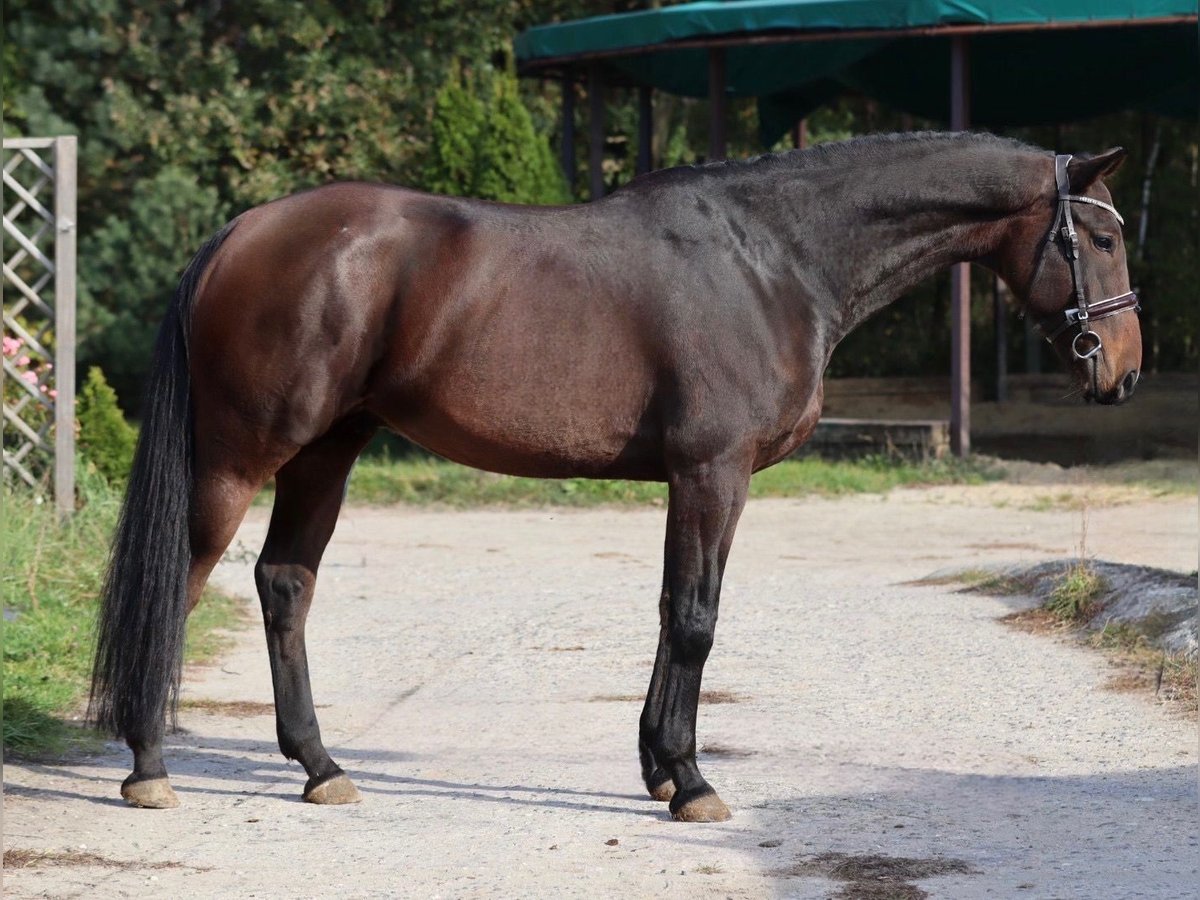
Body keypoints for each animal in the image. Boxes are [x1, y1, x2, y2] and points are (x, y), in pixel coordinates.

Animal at [91, 130, 1142, 820]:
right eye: (1099, 238)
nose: (1124, 370)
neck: (772, 257)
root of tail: (243, 233)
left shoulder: (697, 478)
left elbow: (677, 611)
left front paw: (661, 769)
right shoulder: (713, 471)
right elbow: (697, 618)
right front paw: (692, 780)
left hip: (327, 451)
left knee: (284, 584)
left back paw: (319, 766)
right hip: (242, 455)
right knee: (180, 582)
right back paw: (148, 768)